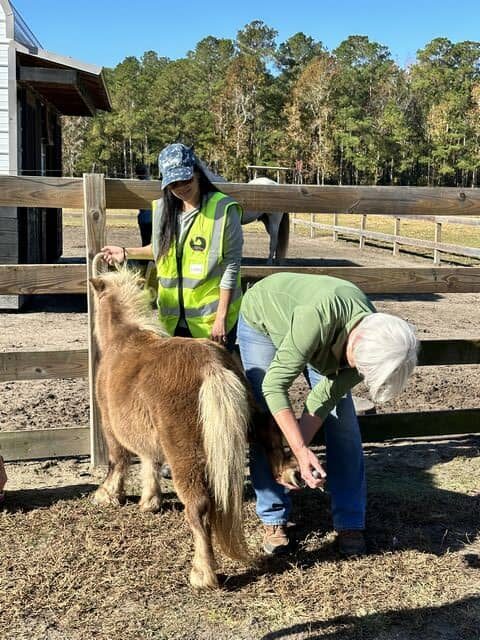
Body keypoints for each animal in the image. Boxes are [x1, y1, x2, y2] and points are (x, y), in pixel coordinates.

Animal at [91, 264, 255, 592]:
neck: (123, 338)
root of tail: (210, 365)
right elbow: (149, 462)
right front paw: (149, 501)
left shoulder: (110, 427)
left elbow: (118, 461)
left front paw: (108, 494)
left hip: (186, 460)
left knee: (198, 509)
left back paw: (203, 574)